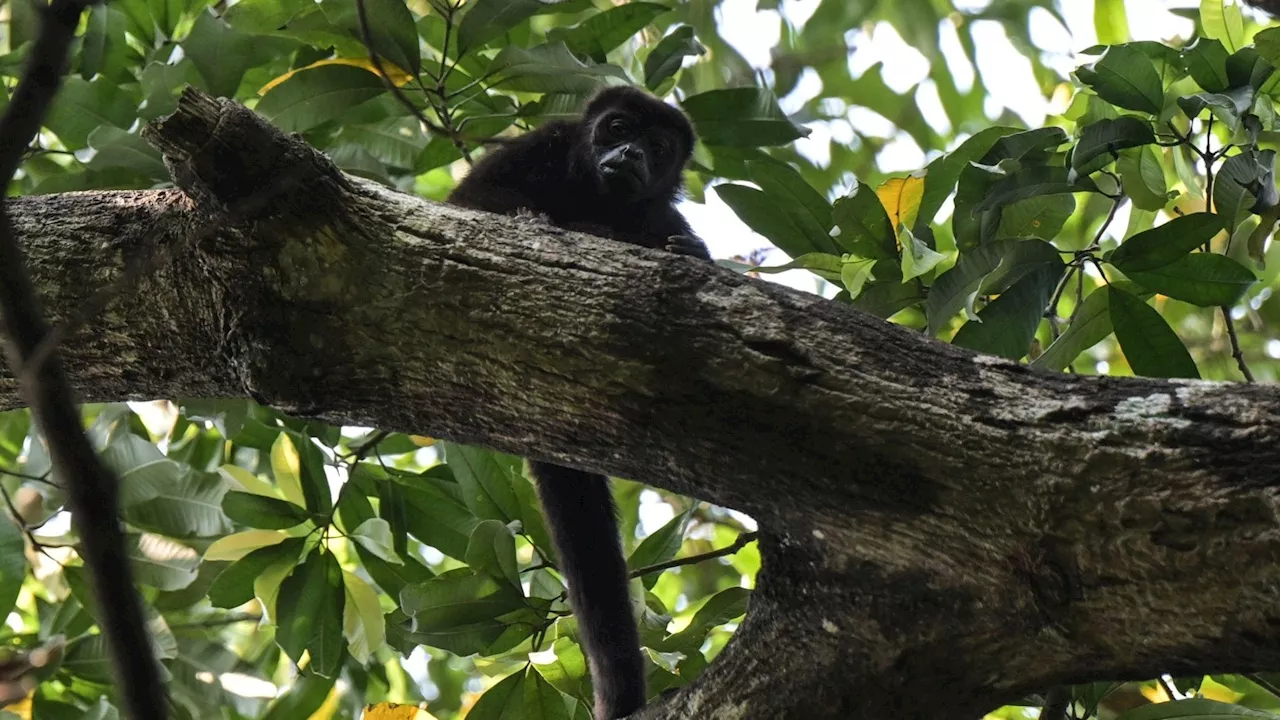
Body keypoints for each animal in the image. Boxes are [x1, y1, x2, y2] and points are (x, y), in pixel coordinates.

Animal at [448, 85, 711, 717]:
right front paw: (537, 218)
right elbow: (468, 201)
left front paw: (682, 251)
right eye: (617, 128)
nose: (630, 153)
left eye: (657, 147)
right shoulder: (538, 145)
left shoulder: (662, 212)